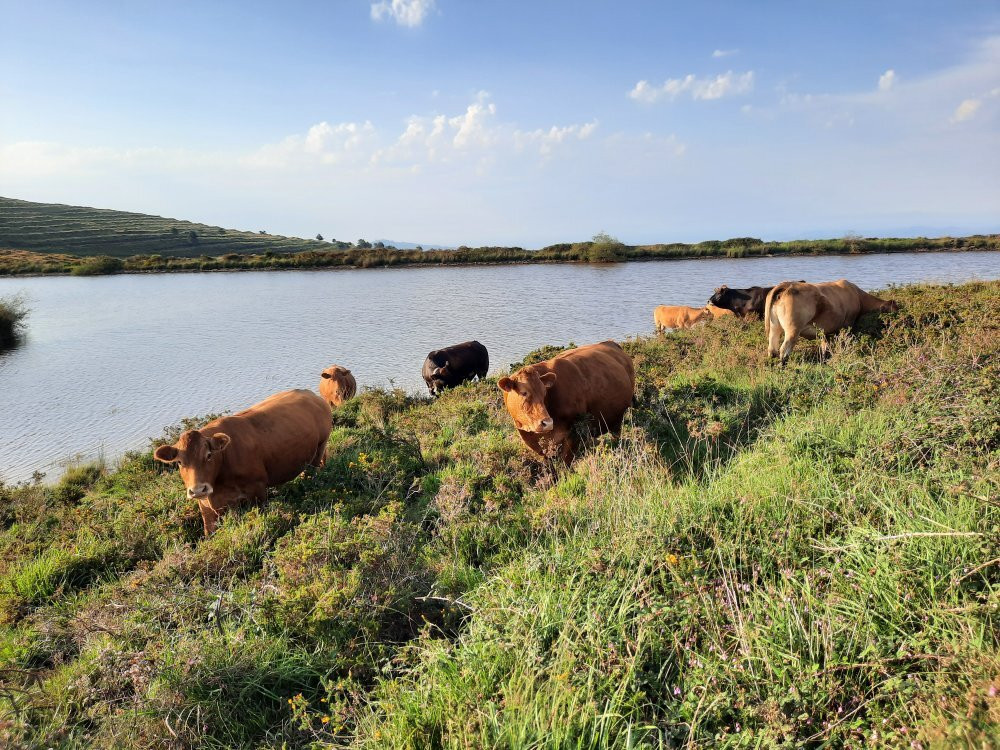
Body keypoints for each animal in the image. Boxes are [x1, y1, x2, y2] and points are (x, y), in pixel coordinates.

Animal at [153, 388, 332, 536]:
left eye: (209, 455)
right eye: (179, 462)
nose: (198, 490)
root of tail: (311, 395)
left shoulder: (258, 490)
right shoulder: (206, 507)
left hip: (320, 446)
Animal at [498, 340, 636, 464]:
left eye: (544, 392)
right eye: (523, 392)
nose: (547, 423)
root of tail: (611, 343)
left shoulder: (574, 435)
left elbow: (566, 463)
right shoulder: (534, 443)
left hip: (617, 419)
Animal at [764, 282, 900, 364]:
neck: (858, 296)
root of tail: (787, 285)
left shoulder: (825, 331)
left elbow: (825, 347)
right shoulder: (848, 324)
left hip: (774, 327)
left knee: (772, 349)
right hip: (793, 329)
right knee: (783, 350)